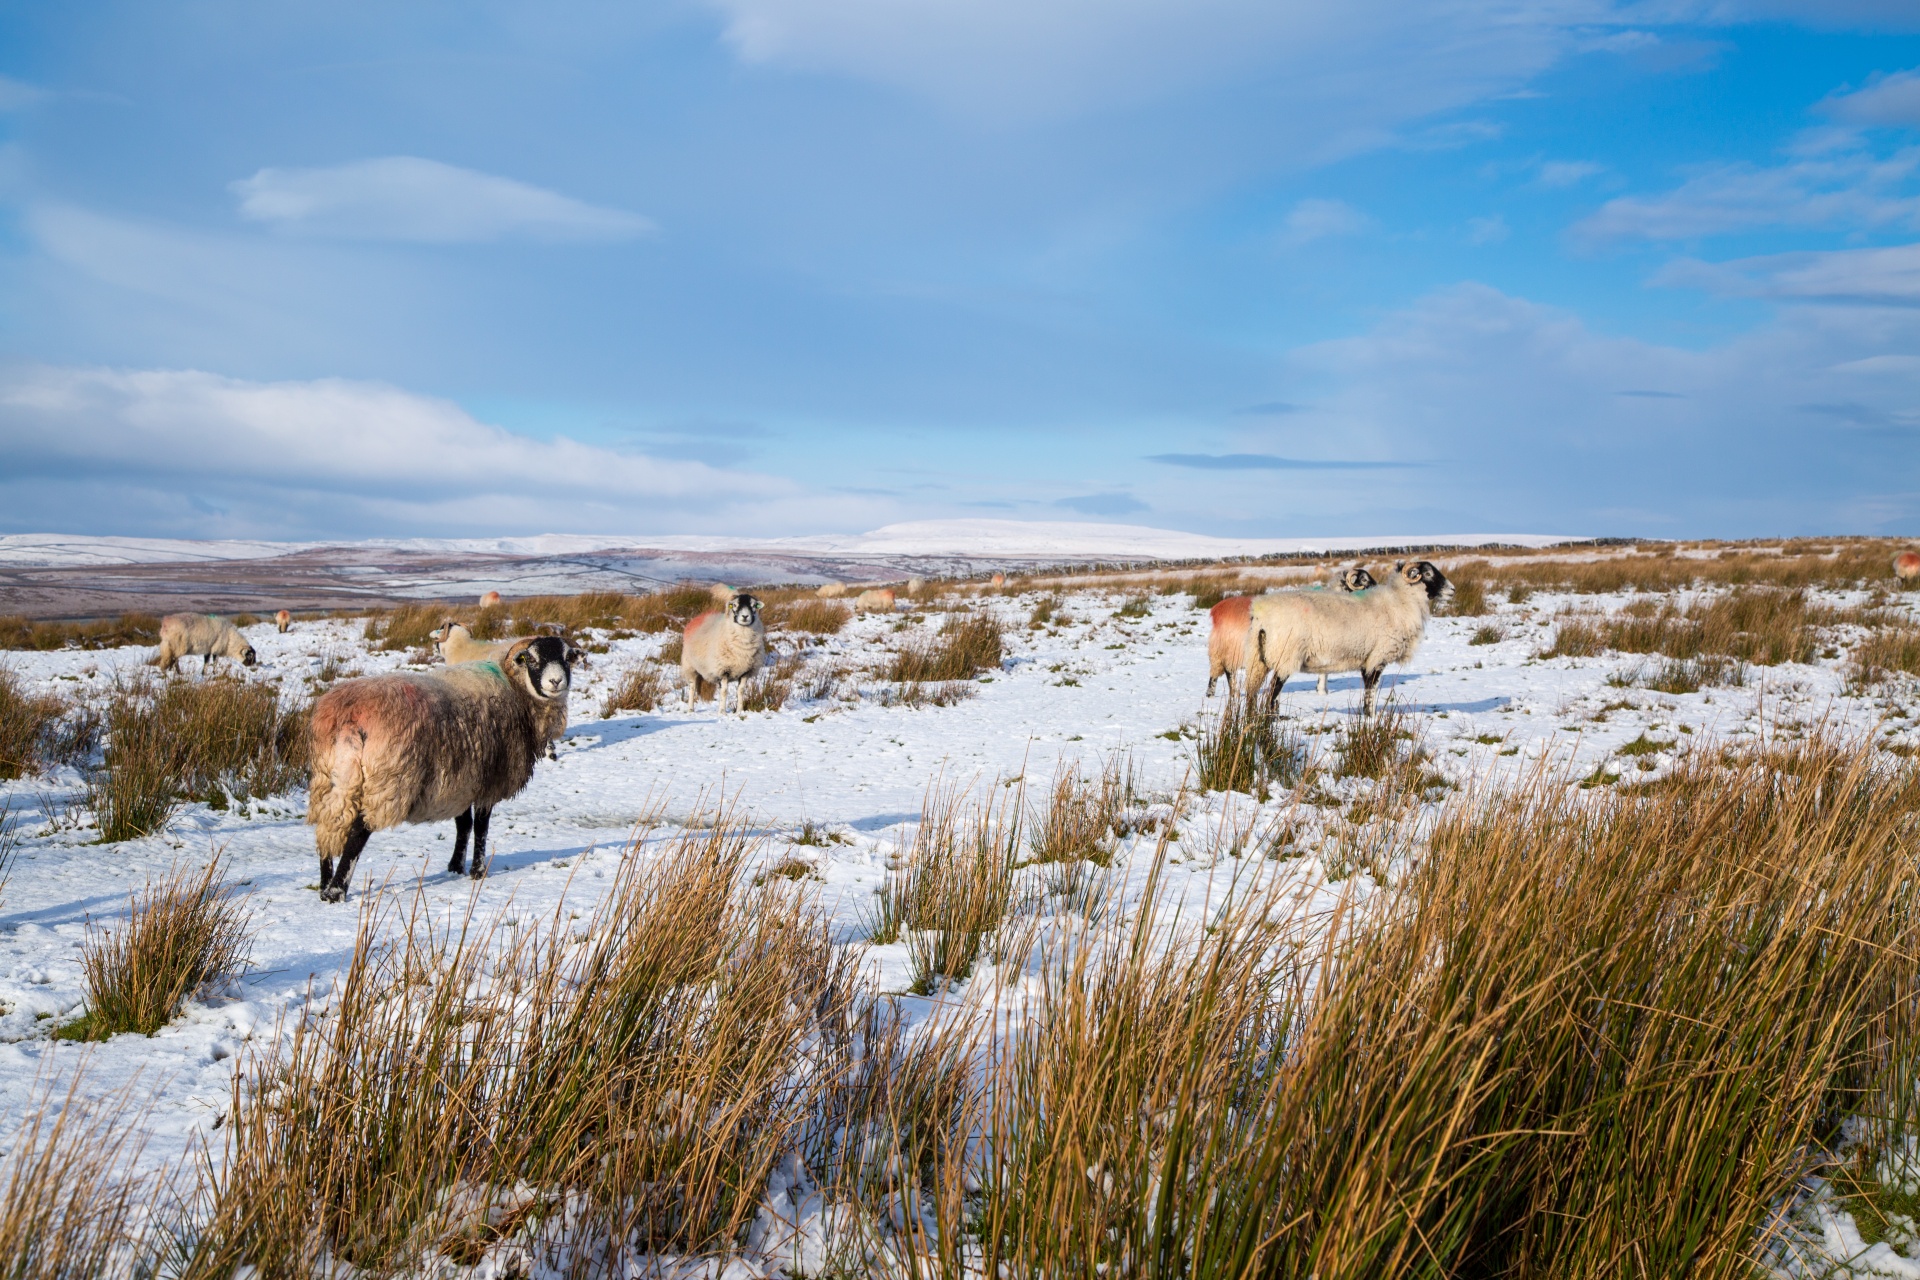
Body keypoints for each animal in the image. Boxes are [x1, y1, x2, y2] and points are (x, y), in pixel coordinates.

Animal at [303, 633, 576, 901]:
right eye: (532, 659)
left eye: (566, 657)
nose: (555, 682)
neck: (517, 690)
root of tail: (349, 717)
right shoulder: (490, 778)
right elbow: (481, 826)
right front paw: (477, 871)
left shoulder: (461, 779)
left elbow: (464, 824)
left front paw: (455, 867)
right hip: (388, 780)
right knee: (358, 831)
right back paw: (337, 891)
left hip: (329, 777)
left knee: (327, 826)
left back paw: (324, 886)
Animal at [1244, 560, 1451, 721]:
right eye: (1428, 573)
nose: (1452, 590)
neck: (1400, 603)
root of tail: (1259, 611)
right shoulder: (1376, 657)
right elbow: (1371, 691)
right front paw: (1370, 718)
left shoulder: (1366, 659)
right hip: (1285, 655)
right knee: (1273, 691)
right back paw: (1272, 719)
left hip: (1259, 657)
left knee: (1253, 691)